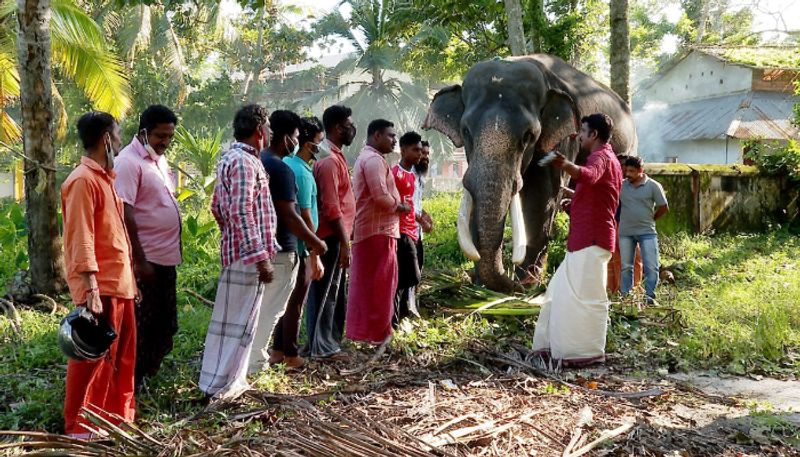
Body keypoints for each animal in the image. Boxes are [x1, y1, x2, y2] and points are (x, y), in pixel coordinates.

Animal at [424, 55, 636, 292]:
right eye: (466, 131)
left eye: (528, 135)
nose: (513, 283)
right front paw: (481, 284)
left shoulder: (563, 138)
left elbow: (542, 198)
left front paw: (529, 283)